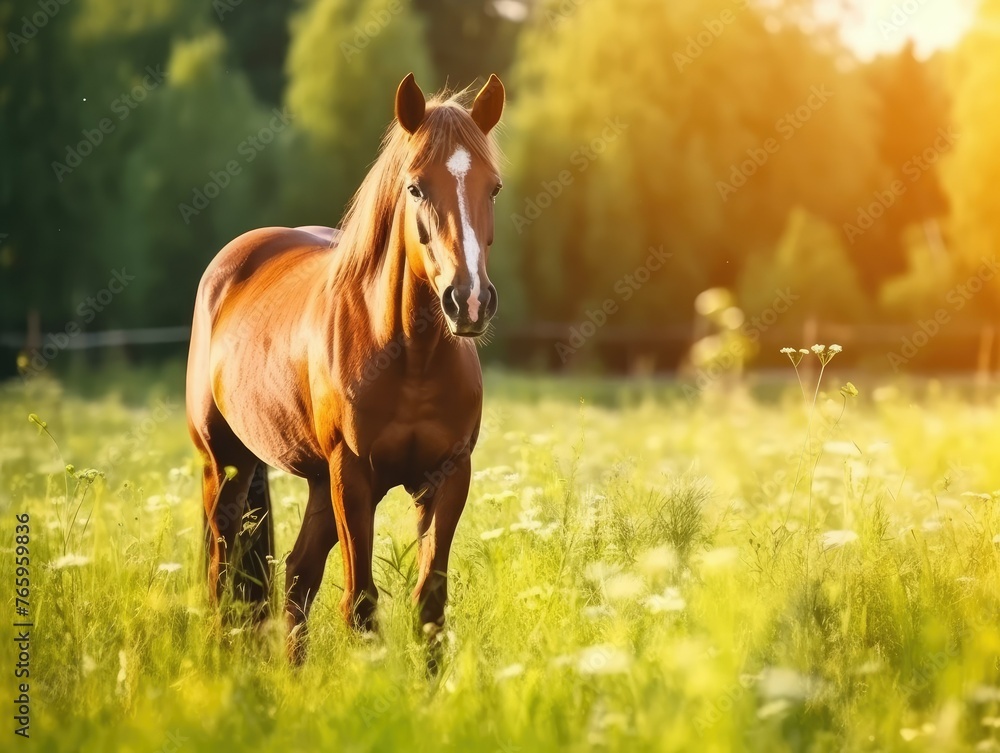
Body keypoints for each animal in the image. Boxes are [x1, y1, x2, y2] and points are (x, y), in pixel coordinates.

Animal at [185, 72, 505, 664]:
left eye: (492, 187)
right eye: (415, 187)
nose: (468, 301)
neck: (411, 357)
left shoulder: (448, 477)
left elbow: (430, 605)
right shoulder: (352, 476)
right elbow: (360, 604)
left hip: (315, 484)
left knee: (295, 578)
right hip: (227, 467)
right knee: (222, 573)